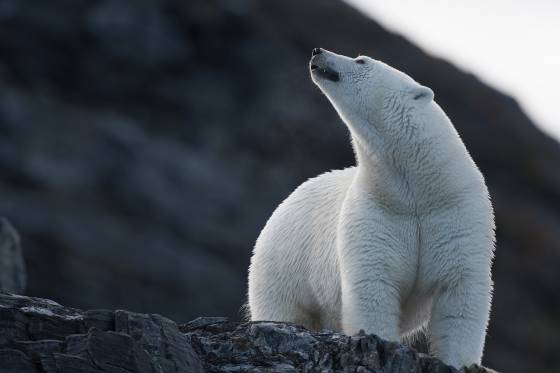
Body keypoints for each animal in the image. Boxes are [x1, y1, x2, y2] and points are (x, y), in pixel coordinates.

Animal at [247, 48, 496, 368]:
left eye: (361, 60)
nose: (318, 51)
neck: (418, 192)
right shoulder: (374, 213)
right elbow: (373, 281)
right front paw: (379, 342)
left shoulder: (457, 214)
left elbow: (460, 290)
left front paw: (462, 363)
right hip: (283, 263)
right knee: (282, 308)